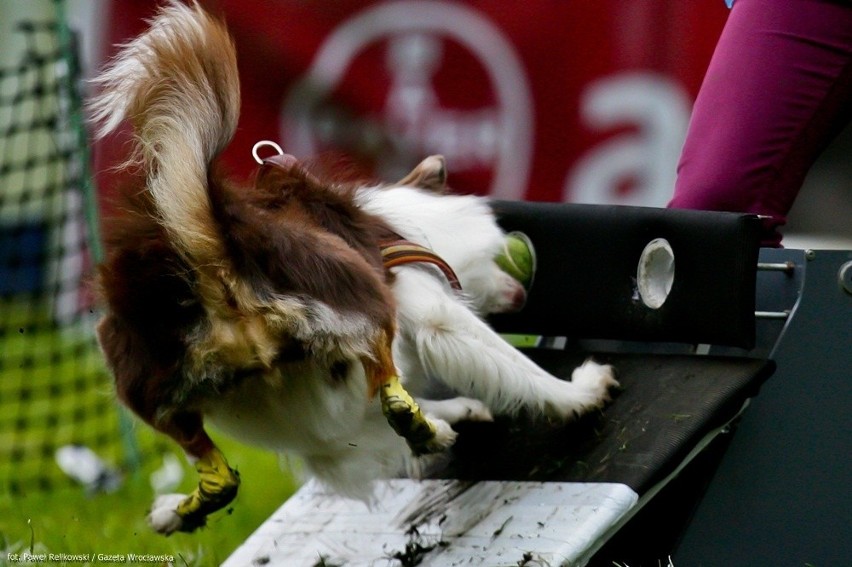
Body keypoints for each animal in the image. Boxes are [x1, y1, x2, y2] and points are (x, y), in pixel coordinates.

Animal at [90, 0, 616, 536]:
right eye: (497, 259)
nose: (518, 291)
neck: (404, 226)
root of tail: (217, 258)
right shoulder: (433, 313)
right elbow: (514, 367)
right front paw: (576, 393)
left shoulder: (328, 426)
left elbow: (364, 421)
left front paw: (458, 411)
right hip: (359, 296)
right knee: (390, 384)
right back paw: (429, 429)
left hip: (141, 381)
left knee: (221, 475)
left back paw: (175, 511)